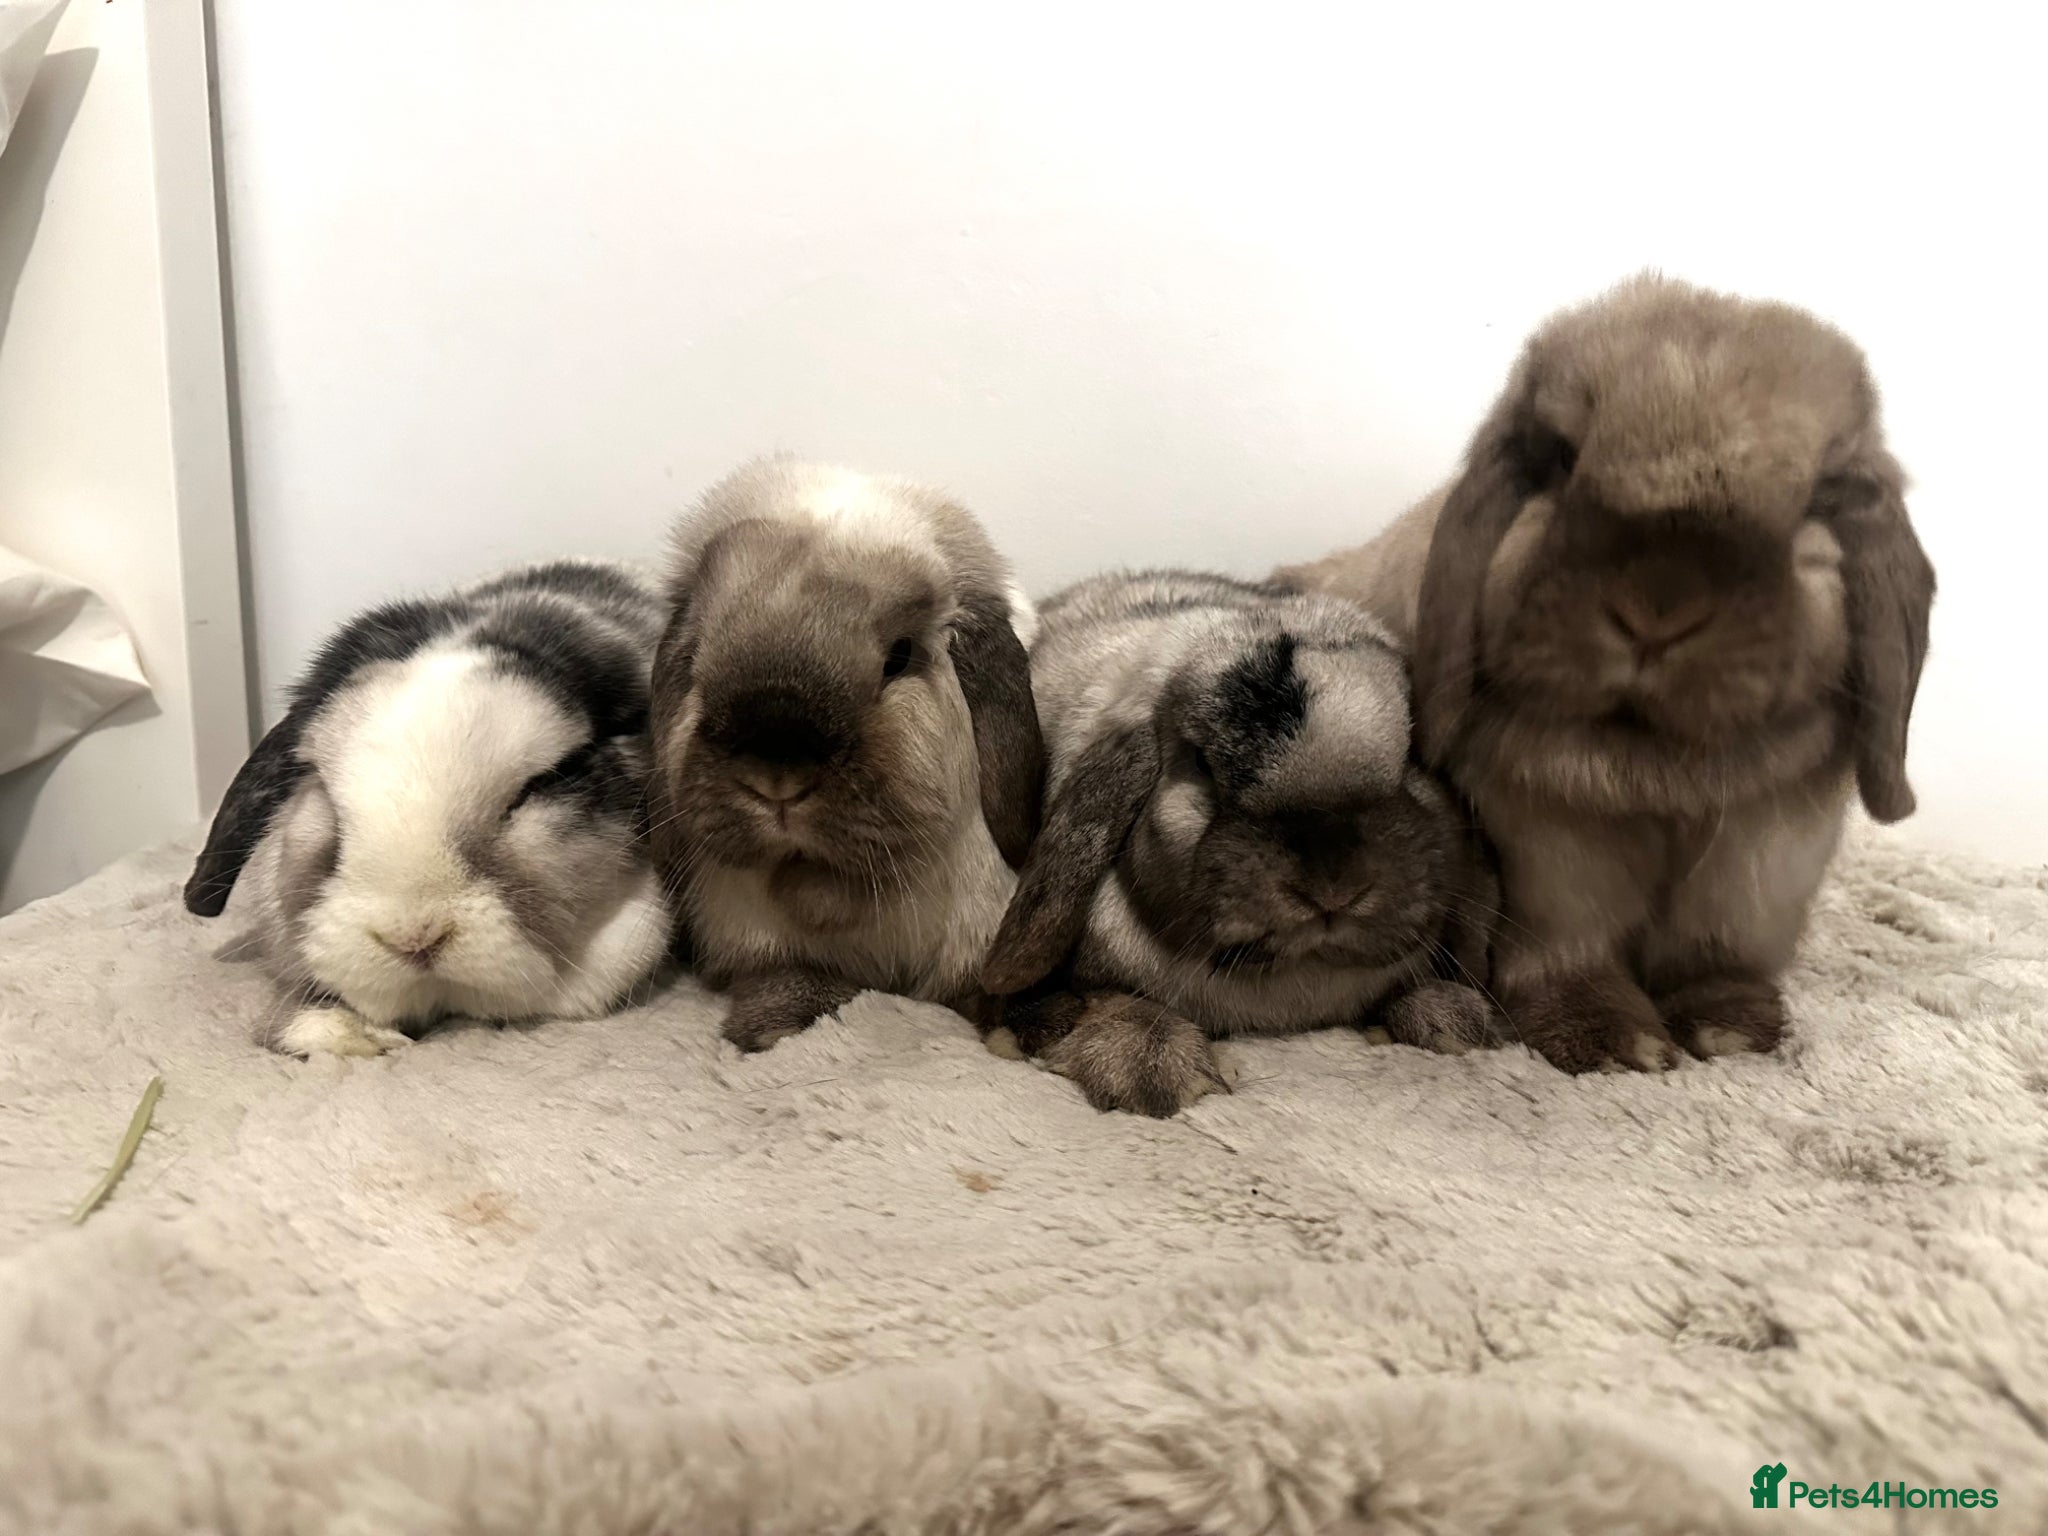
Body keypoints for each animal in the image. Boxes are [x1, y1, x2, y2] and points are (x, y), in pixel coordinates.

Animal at [977, 569, 1503, 1117]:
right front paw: (1149, 1070)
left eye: (1411, 756)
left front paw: (1452, 1020)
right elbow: (1110, 1002)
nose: (1333, 888)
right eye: (1201, 764)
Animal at [1275, 272, 1936, 1074]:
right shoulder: (1548, 852)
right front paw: (1613, 1044)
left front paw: (1732, 1030)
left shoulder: (1763, 859)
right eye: (1562, 461)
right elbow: (1568, 947)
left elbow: (1720, 949)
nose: (1657, 608)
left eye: (1817, 501)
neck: (1654, 764)